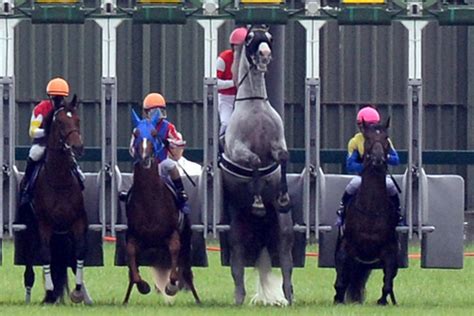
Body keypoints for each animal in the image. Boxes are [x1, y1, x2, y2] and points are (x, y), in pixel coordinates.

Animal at [22, 95, 90, 304]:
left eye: (77, 120)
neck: (59, 179)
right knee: (31, 258)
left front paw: (78, 291)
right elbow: (46, 255)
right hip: (31, 227)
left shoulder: (77, 221)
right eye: (60, 122)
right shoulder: (44, 224)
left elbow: (79, 253)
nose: (77, 147)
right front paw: (50, 292)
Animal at [122, 110, 200, 304]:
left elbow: (174, 256)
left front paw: (171, 287)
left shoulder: (173, 235)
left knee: (186, 272)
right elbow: (132, 262)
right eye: (135, 134)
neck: (149, 200)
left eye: (155, 134)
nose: (144, 158)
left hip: (186, 238)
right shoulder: (133, 236)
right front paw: (143, 285)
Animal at [221, 25, 294, 306]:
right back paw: (238, 298)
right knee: (237, 268)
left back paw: (289, 298)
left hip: (283, 232)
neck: (254, 104)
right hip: (237, 235)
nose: (264, 55)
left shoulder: (277, 144)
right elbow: (253, 161)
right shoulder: (238, 149)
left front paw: (282, 197)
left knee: (286, 265)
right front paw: (258, 203)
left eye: (270, 39)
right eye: (252, 39)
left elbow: (282, 157)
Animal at [334, 119, 400, 304]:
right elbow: (340, 281)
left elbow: (387, 283)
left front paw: (383, 301)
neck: (371, 208)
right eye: (368, 138)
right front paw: (338, 299)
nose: (378, 159)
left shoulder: (390, 250)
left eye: (385, 138)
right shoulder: (346, 247)